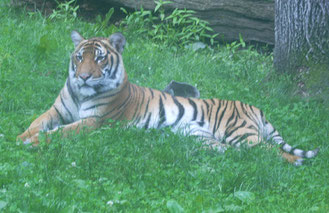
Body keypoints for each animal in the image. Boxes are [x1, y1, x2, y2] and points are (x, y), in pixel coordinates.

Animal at [17, 30, 318, 166]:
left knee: (269, 151)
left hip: (240, 132)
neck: (81, 94)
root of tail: (255, 107)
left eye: (99, 58)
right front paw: (22, 137)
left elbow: (62, 132)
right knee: (233, 152)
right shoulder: (56, 111)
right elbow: (36, 122)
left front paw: (35, 142)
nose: (83, 77)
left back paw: (296, 161)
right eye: (80, 57)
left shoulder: (96, 121)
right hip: (204, 138)